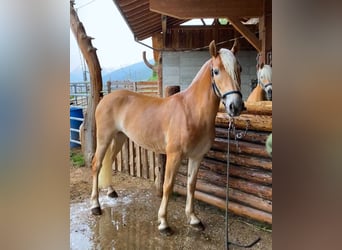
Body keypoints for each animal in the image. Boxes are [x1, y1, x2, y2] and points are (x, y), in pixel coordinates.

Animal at [89, 40, 244, 235]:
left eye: (240, 69)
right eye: (216, 71)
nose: (235, 106)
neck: (191, 112)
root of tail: (105, 98)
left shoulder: (197, 156)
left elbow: (191, 185)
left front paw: (193, 219)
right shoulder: (174, 155)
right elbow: (168, 185)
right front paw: (163, 222)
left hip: (119, 138)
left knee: (108, 161)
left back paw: (110, 192)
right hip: (104, 138)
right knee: (97, 165)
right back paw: (95, 206)